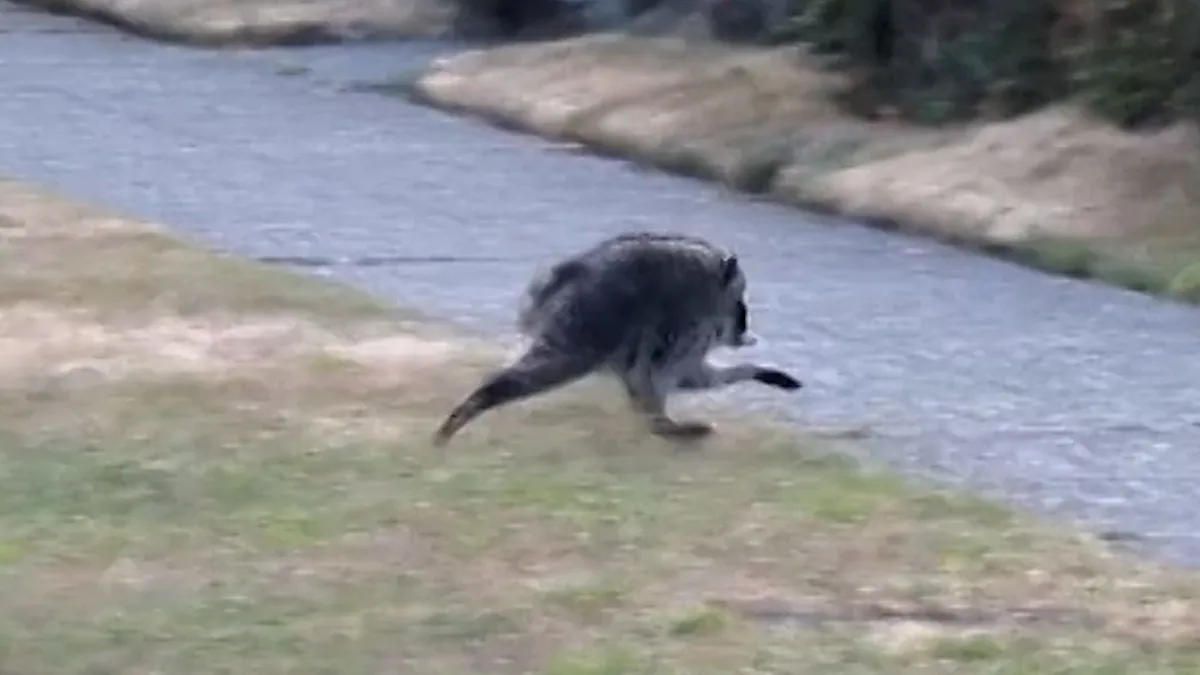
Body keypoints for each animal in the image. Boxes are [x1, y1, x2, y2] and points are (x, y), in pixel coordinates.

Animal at [432, 231, 802, 446]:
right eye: (741, 306)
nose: (744, 329)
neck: (711, 281)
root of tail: (566, 271)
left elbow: (694, 377)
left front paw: (757, 370)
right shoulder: (686, 320)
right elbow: (668, 372)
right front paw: (660, 421)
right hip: (592, 320)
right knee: (551, 367)